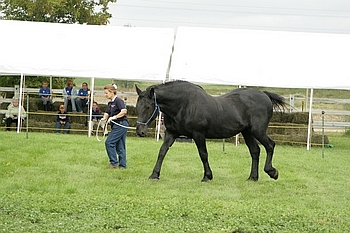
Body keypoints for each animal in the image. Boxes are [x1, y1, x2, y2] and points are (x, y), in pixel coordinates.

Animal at [135, 80, 286, 182]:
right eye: (137, 106)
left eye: (148, 107)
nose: (140, 131)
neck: (183, 104)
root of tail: (264, 95)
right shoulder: (171, 134)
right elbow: (162, 152)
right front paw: (154, 174)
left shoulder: (198, 134)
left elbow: (203, 154)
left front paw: (207, 176)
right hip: (247, 132)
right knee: (255, 151)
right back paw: (253, 177)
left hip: (258, 131)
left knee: (270, 145)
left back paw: (272, 172)